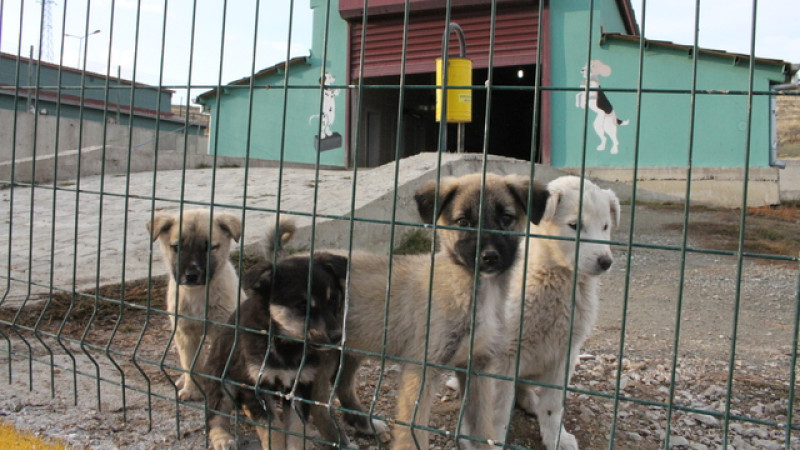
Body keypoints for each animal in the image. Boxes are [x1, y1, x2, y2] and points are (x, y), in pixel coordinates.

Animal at [145, 208, 242, 400]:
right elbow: (191, 364)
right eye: (177, 247)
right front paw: (192, 390)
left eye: (210, 247)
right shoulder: (185, 332)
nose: (191, 275)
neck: (197, 294)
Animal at [203, 251, 350, 448]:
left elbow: (296, 428)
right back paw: (222, 438)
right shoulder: (254, 388)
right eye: (302, 306)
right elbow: (272, 429)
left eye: (333, 299)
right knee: (215, 414)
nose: (337, 337)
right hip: (222, 380)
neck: (286, 346)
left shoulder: (300, 385)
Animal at [332, 173, 552, 450]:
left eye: (506, 218)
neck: (474, 291)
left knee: (342, 384)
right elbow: (412, 434)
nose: (489, 257)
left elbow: (481, 427)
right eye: (463, 222)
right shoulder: (421, 370)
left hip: (349, 349)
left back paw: (363, 423)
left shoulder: (477, 366)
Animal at [490, 176, 620, 450]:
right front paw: (490, 440)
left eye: (605, 226)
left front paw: (556, 438)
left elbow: (553, 404)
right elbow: (497, 409)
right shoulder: (504, 355)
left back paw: (531, 402)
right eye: (574, 225)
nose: (606, 262)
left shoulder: (565, 355)